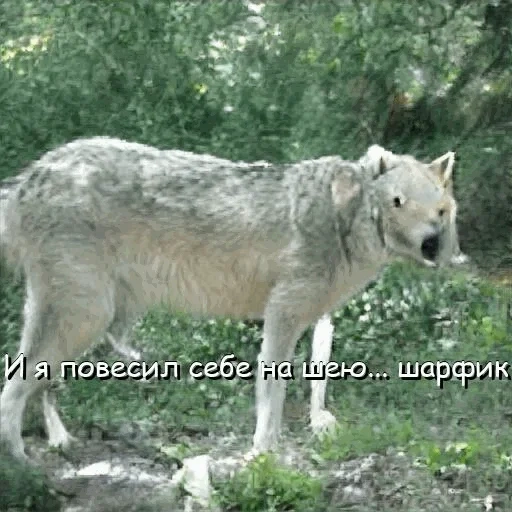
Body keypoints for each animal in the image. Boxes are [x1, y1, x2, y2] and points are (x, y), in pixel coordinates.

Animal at [0, 138, 464, 462]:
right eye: (398, 202)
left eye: (440, 211)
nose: (431, 244)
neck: (344, 217)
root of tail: (32, 174)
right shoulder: (282, 315)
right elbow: (272, 392)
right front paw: (263, 455)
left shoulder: (318, 317)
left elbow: (316, 380)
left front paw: (313, 429)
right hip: (86, 318)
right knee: (15, 386)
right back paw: (21, 464)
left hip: (91, 324)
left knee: (41, 384)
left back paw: (60, 443)